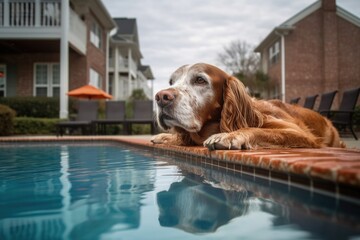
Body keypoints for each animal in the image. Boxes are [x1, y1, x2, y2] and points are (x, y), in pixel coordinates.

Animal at [151, 62, 344, 149]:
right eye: (172, 82)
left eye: (200, 80)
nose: (160, 97)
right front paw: (164, 137)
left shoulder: (299, 133)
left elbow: (258, 130)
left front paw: (229, 136)